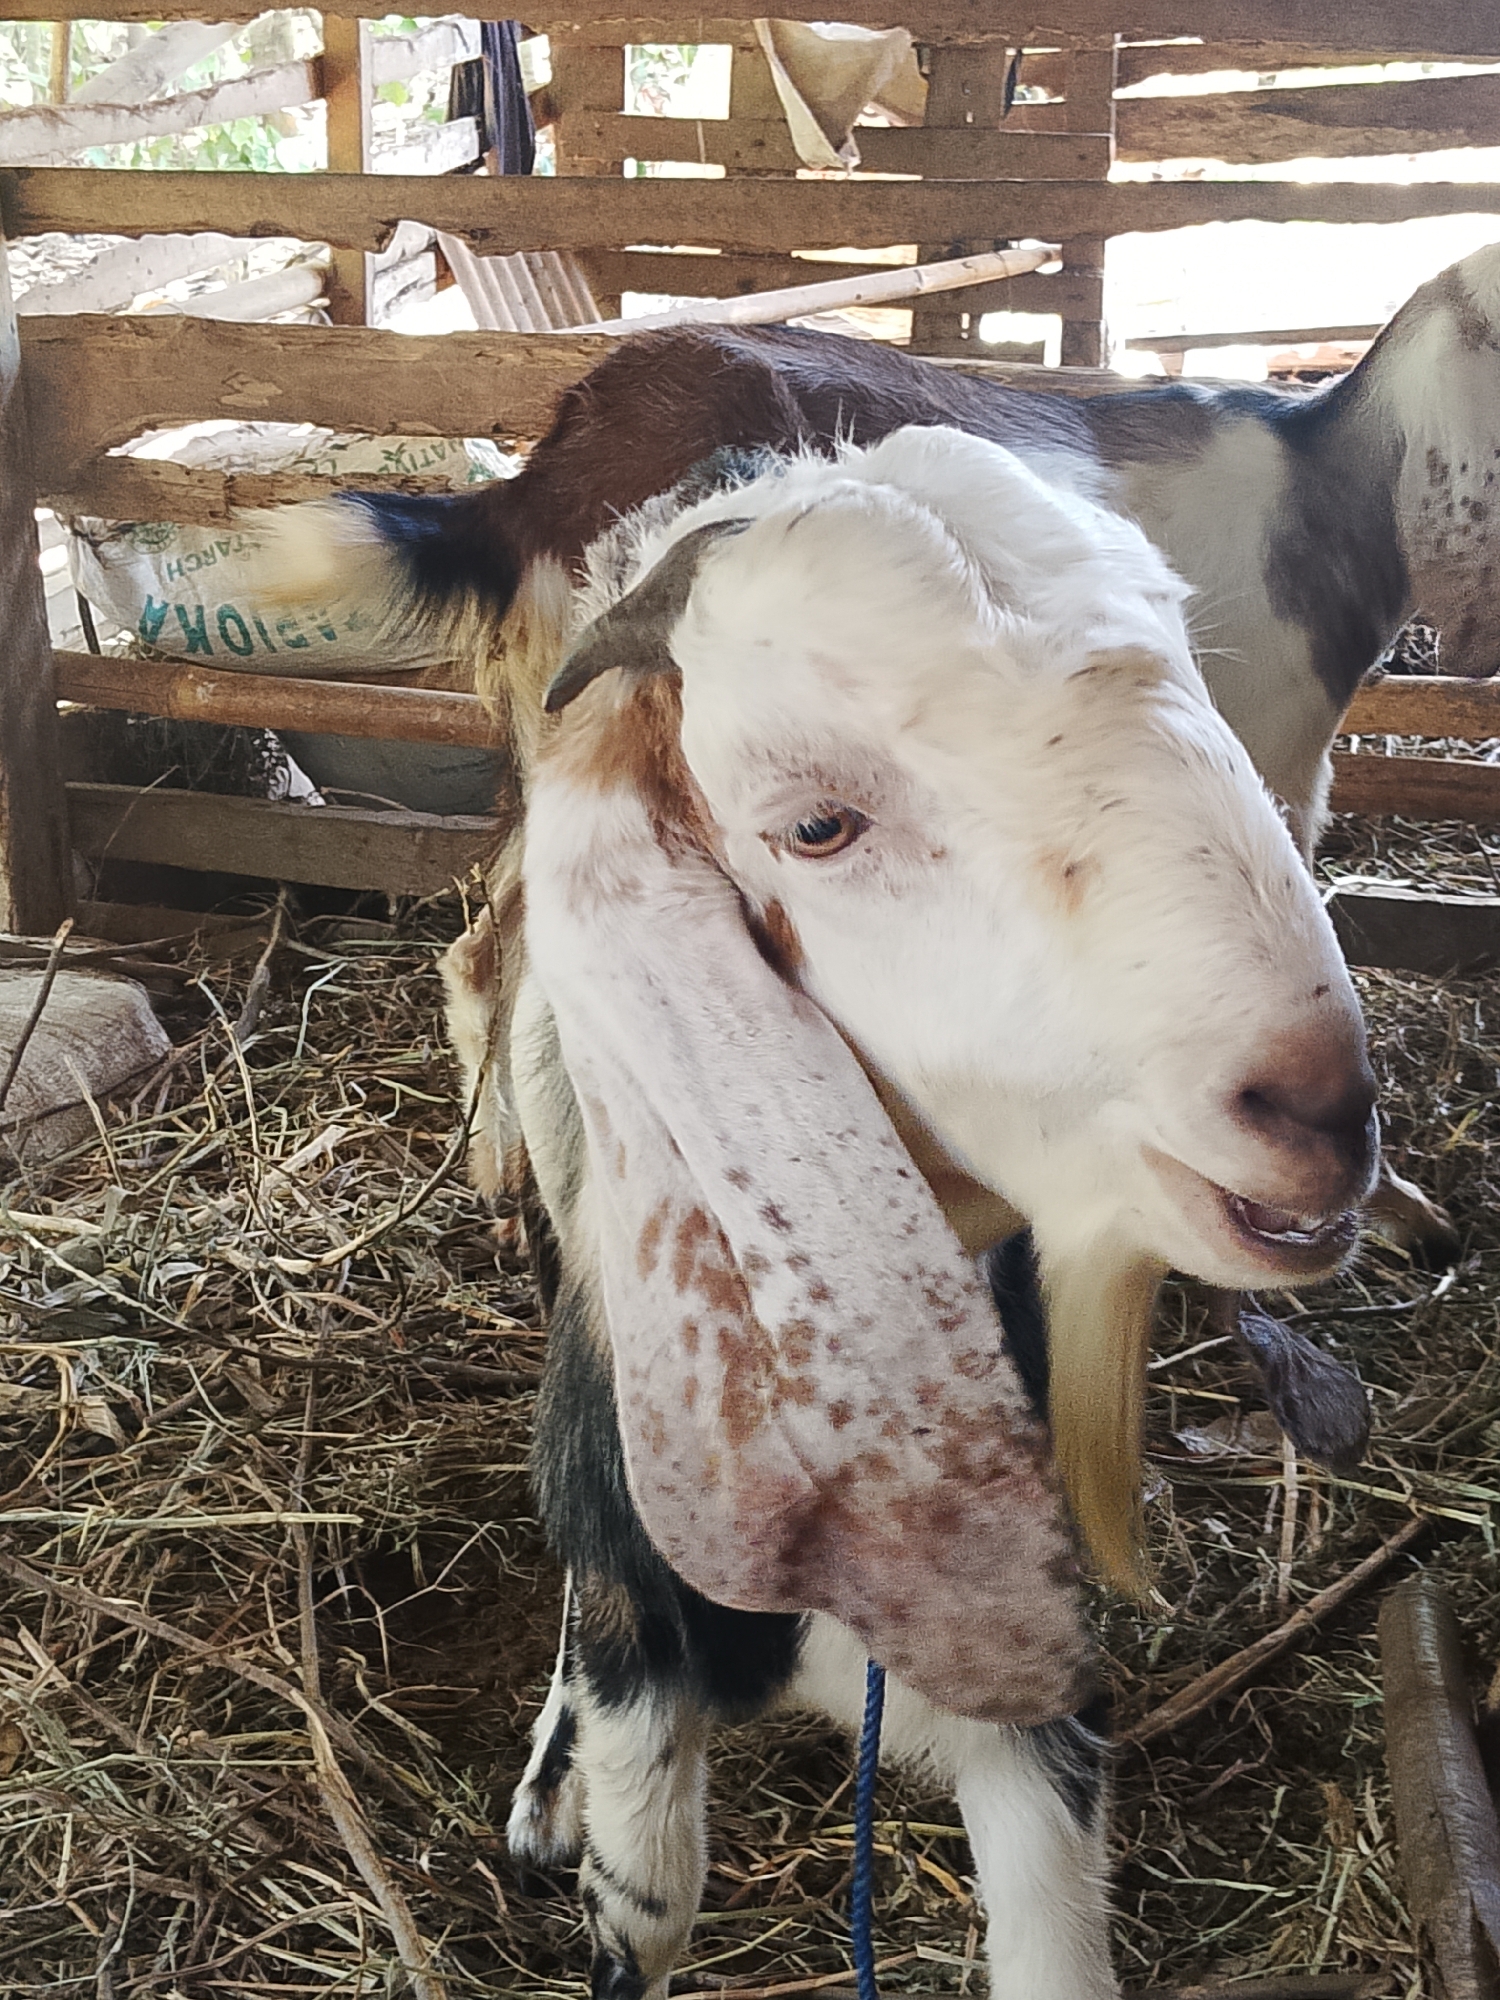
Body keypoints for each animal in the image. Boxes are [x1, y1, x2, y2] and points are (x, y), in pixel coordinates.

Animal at [277, 240, 1500, 1274]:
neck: (1320, 492)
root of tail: (550, 469)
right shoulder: (1265, 771)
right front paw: (1392, 1206)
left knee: (490, 937)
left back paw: (499, 1177)